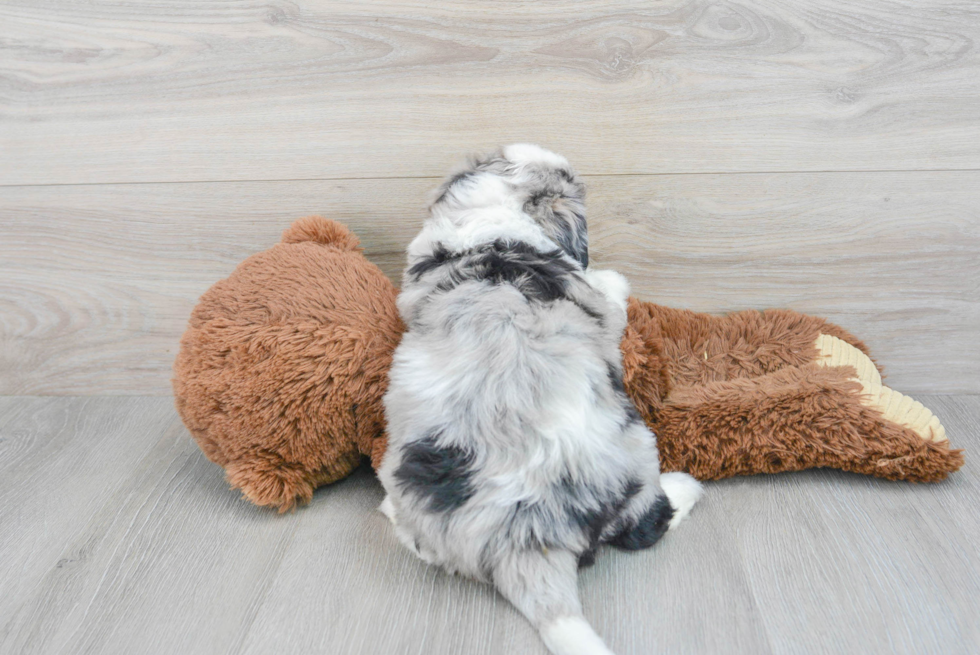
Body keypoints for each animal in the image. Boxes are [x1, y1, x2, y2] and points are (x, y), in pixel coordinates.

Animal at [378, 145, 704, 655]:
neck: (491, 218)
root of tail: (526, 536)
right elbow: (611, 289)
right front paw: (616, 277)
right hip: (638, 451)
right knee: (648, 522)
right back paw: (686, 487)